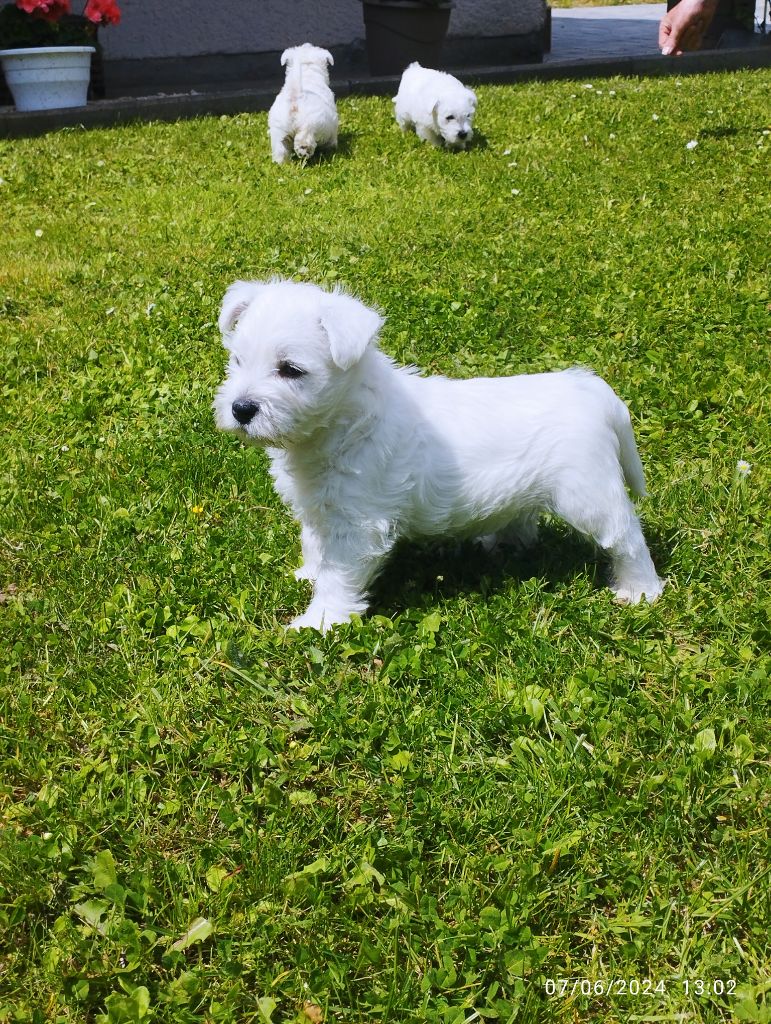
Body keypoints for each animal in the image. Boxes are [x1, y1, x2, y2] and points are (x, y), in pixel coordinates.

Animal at [213, 280, 663, 630]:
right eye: (237, 360)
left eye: (291, 369)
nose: (241, 409)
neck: (344, 420)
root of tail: (591, 389)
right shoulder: (321, 509)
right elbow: (313, 545)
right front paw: (306, 574)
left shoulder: (358, 525)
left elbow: (338, 576)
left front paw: (318, 621)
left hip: (589, 495)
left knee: (626, 536)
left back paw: (640, 590)